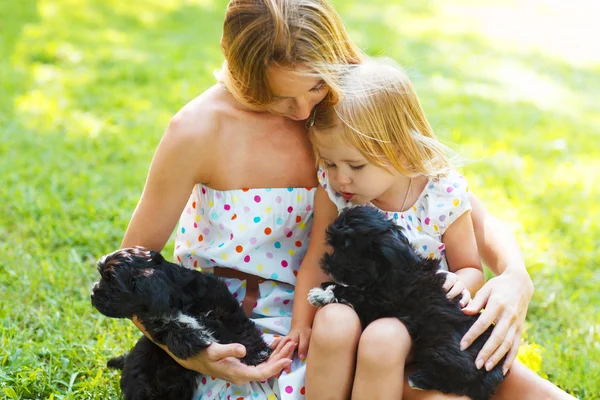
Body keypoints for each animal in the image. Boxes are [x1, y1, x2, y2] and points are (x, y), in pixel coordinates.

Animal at [90, 247, 270, 400]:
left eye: (113, 284)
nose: (92, 294)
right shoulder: (156, 324)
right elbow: (173, 332)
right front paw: (198, 337)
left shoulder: (223, 307)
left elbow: (240, 329)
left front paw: (258, 353)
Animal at [310, 206, 506, 400]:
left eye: (347, 249)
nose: (327, 266)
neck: (388, 268)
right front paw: (325, 286)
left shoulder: (381, 301)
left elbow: (354, 293)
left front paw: (322, 293)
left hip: (442, 346)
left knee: (459, 377)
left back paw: (419, 380)